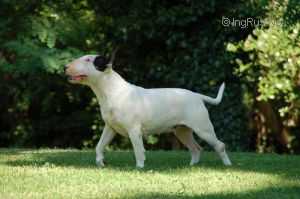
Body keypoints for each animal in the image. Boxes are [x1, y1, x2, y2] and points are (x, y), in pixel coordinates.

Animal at [65, 52, 232, 168]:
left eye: (88, 60)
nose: (65, 67)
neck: (111, 91)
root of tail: (196, 96)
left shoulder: (133, 130)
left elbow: (138, 149)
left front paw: (139, 167)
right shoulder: (110, 128)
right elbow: (99, 146)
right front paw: (100, 163)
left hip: (203, 128)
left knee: (220, 145)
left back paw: (227, 165)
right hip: (181, 130)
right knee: (196, 148)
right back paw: (191, 167)